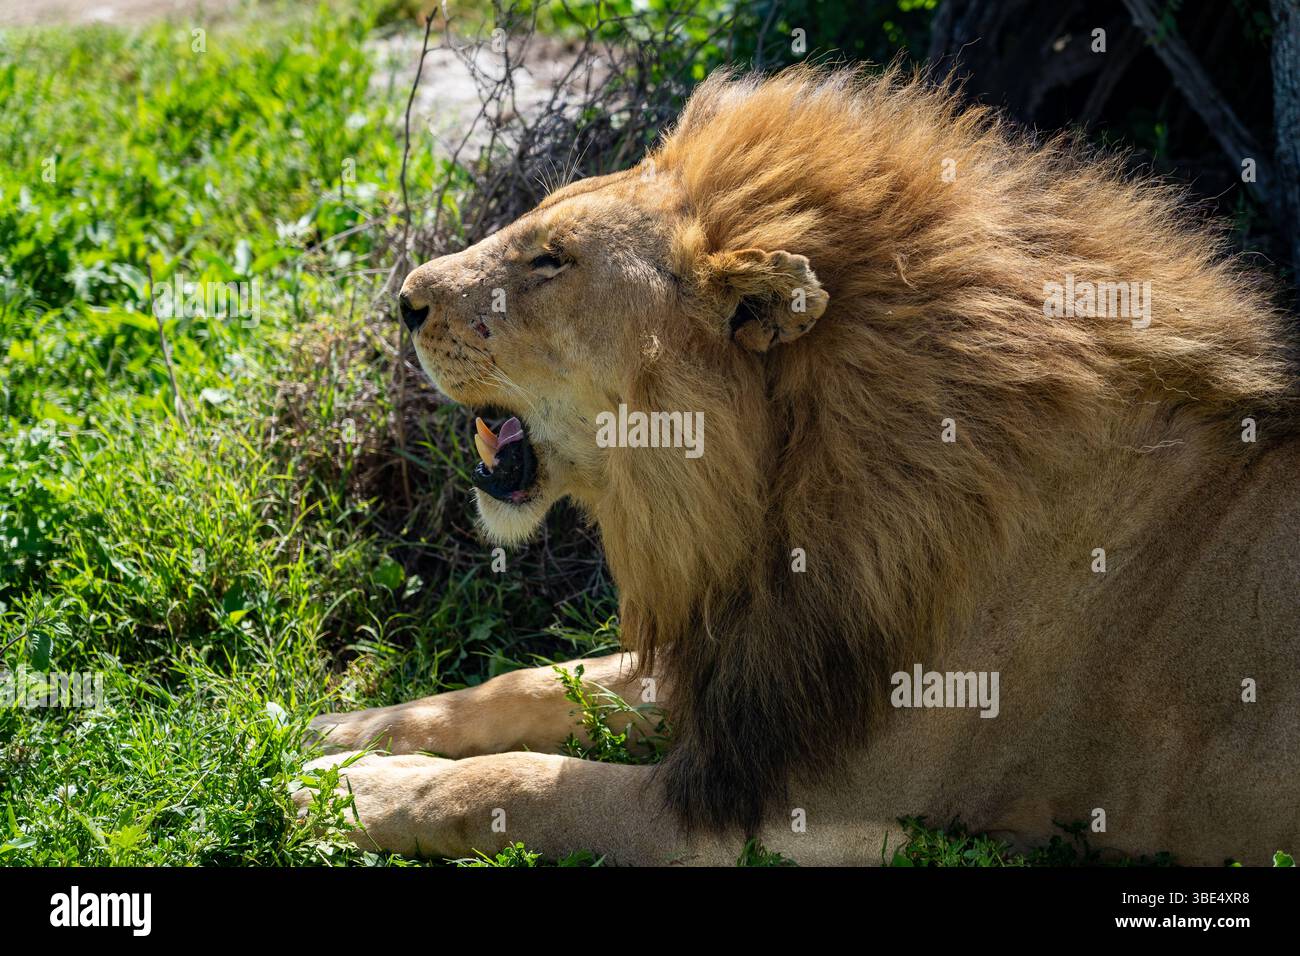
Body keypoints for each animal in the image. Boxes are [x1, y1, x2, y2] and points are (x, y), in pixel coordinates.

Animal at [301, 65, 1300, 865]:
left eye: (552, 260)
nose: (404, 300)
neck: (776, 495)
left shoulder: (826, 816)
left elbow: (516, 785)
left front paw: (341, 787)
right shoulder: (754, 664)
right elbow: (526, 682)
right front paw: (340, 727)